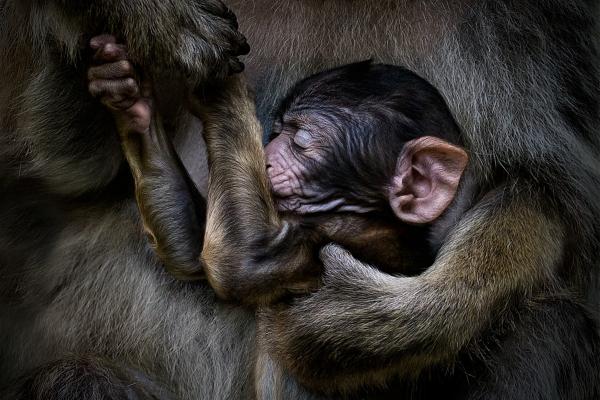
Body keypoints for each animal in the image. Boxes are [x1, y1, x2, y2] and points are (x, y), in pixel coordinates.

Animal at [88, 36, 468, 304]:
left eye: (300, 141)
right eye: (276, 133)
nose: (266, 157)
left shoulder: (351, 234)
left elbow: (244, 263)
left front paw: (217, 86)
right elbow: (195, 252)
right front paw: (129, 95)